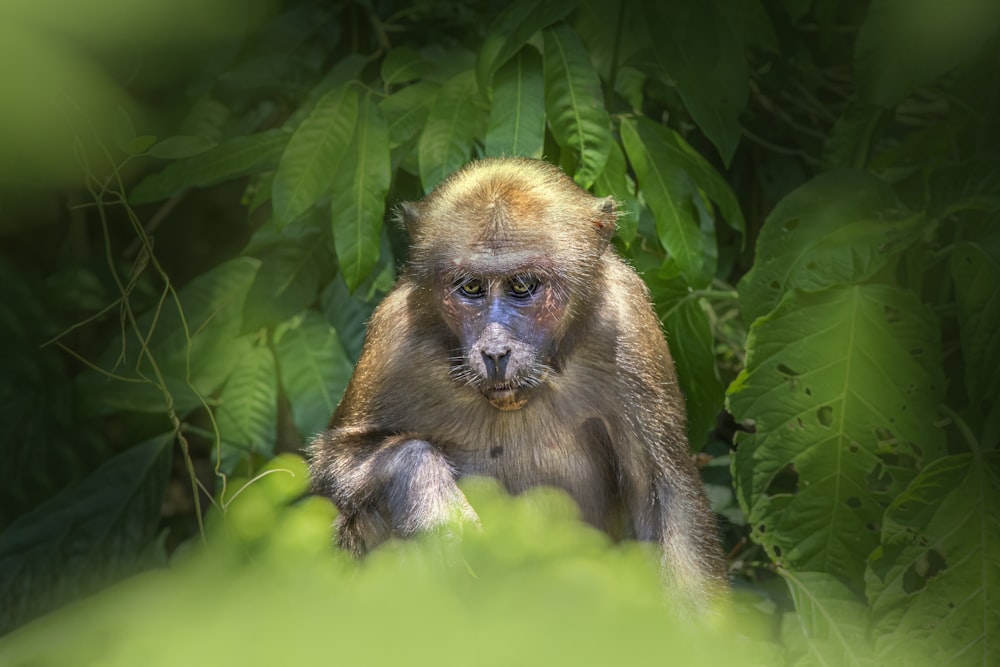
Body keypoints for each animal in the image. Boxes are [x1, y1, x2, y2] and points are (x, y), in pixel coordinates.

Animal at [308, 157, 724, 612]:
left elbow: (666, 502)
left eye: (522, 286)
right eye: (471, 287)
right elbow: (337, 461)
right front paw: (424, 486)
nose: (495, 352)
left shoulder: (627, 322)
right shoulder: (393, 333)